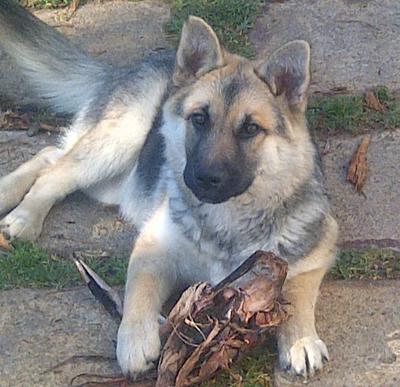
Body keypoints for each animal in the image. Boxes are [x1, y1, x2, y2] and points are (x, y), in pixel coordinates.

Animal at [0, 0, 338, 380]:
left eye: (250, 129)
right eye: (199, 119)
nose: (205, 178)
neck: (228, 217)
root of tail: (140, 66)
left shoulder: (317, 252)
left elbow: (296, 291)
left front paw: (300, 339)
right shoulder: (152, 248)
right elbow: (139, 290)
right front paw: (135, 339)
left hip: (117, 180)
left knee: (48, 156)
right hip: (119, 142)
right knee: (54, 172)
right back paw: (25, 216)